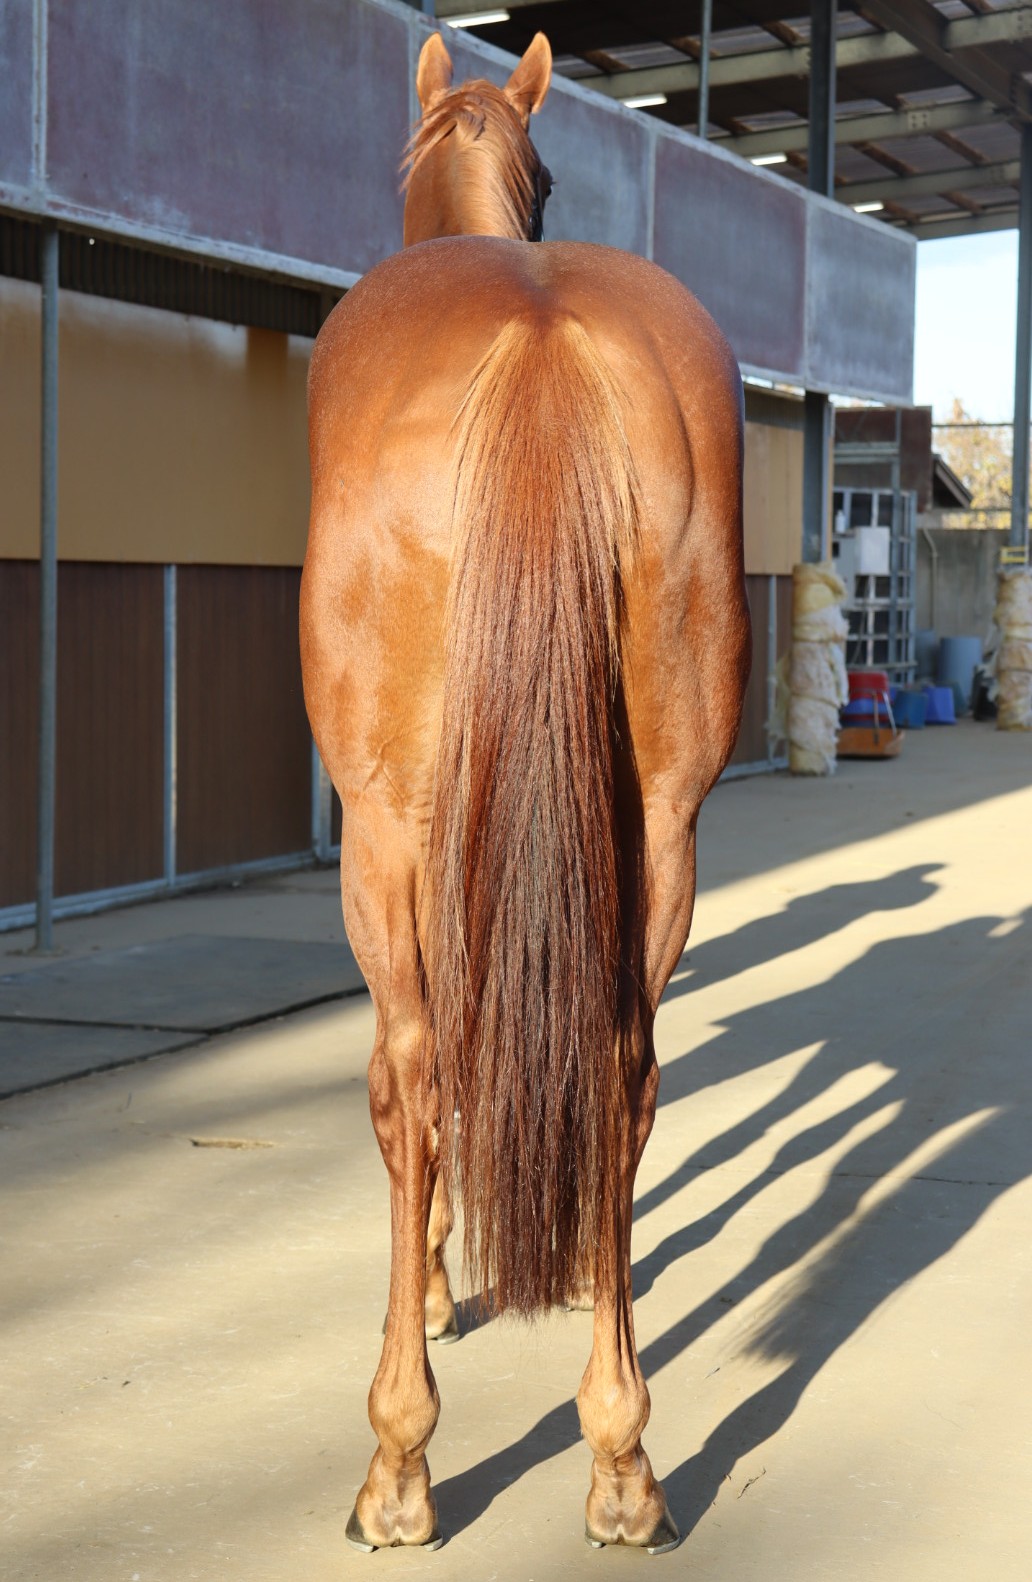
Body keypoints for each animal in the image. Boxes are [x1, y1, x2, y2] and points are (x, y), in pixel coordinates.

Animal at [300, 28, 750, 1555]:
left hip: (383, 838)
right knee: (625, 1068)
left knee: (413, 1073)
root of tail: (546, 338)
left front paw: (436, 1286)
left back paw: (399, 1460)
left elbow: (424, 1086)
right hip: (661, 826)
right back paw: (621, 1455)